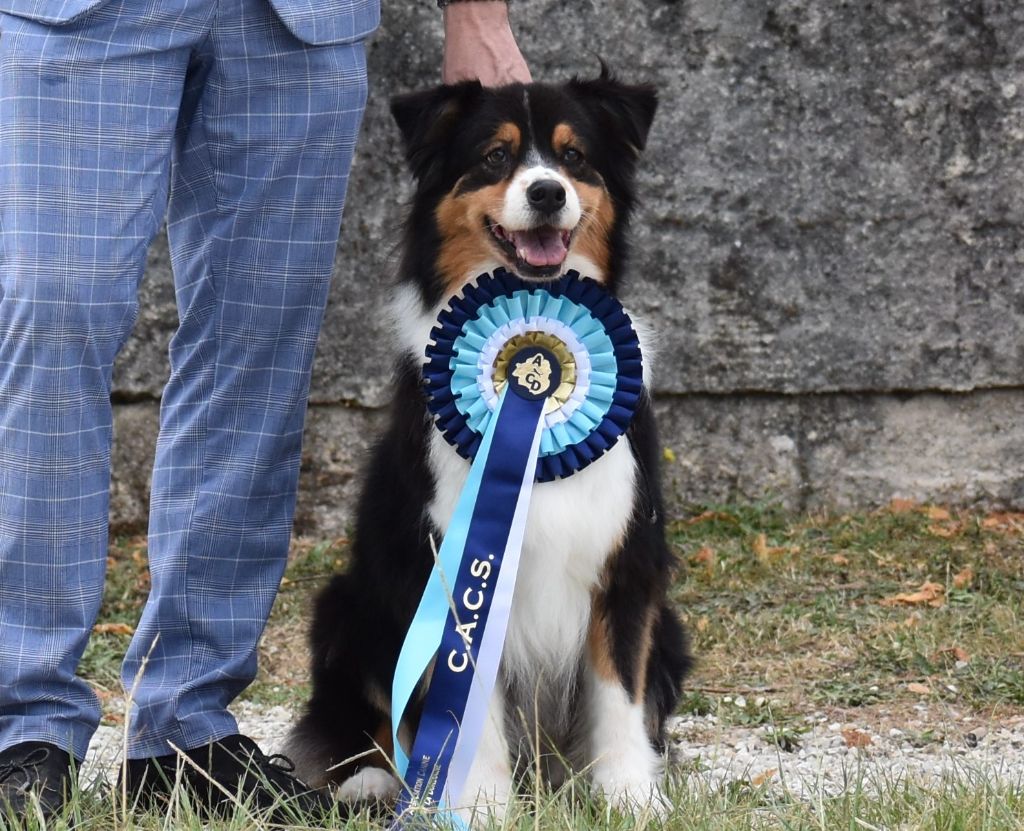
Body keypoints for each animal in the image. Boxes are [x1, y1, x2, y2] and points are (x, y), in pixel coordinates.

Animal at [284, 69, 692, 818]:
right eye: (495, 157)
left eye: (574, 156)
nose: (547, 192)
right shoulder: (446, 563)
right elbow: (464, 703)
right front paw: (477, 805)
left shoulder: (626, 561)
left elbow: (619, 692)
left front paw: (629, 797)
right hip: (344, 607)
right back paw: (376, 780)